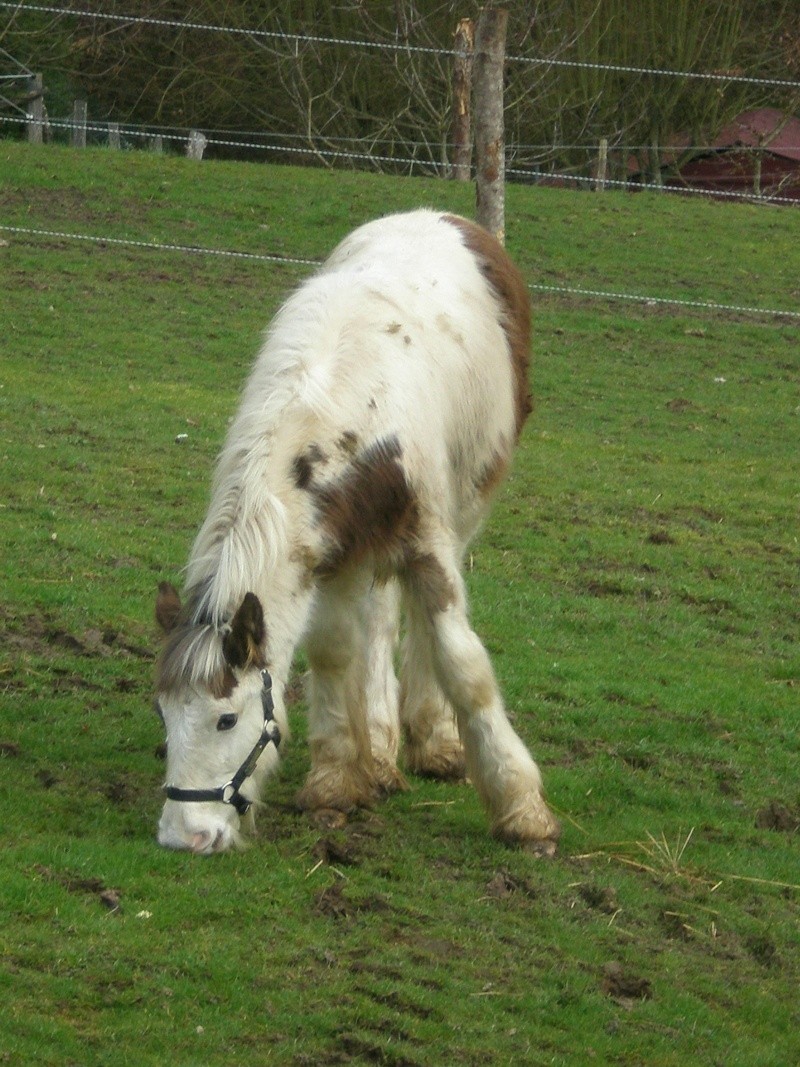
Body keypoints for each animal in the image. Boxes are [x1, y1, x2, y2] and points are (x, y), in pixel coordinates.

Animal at [153, 210, 558, 857]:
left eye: (227, 718)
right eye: (162, 714)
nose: (184, 836)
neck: (337, 407)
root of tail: (442, 216)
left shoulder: (426, 544)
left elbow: (463, 664)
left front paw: (521, 809)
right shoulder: (328, 551)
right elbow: (335, 651)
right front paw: (339, 778)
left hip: (465, 508)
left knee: (419, 629)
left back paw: (432, 741)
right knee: (377, 624)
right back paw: (383, 750)